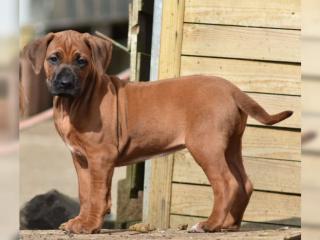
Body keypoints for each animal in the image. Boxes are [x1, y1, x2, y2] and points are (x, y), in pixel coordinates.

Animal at [22, 30, 292, 234]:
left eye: (81, 61)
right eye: (53, 59)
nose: (65, 83)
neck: (74, 103)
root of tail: (231, 88)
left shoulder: (100, 157)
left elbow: (97, 194)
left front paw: (89, 225)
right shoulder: (81, 159)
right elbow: (85, 193)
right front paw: (81, 221)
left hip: (206, 146)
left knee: (226, 184)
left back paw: (209, 224)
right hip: (231, 146)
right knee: (244, 183)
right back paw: (229, 224)